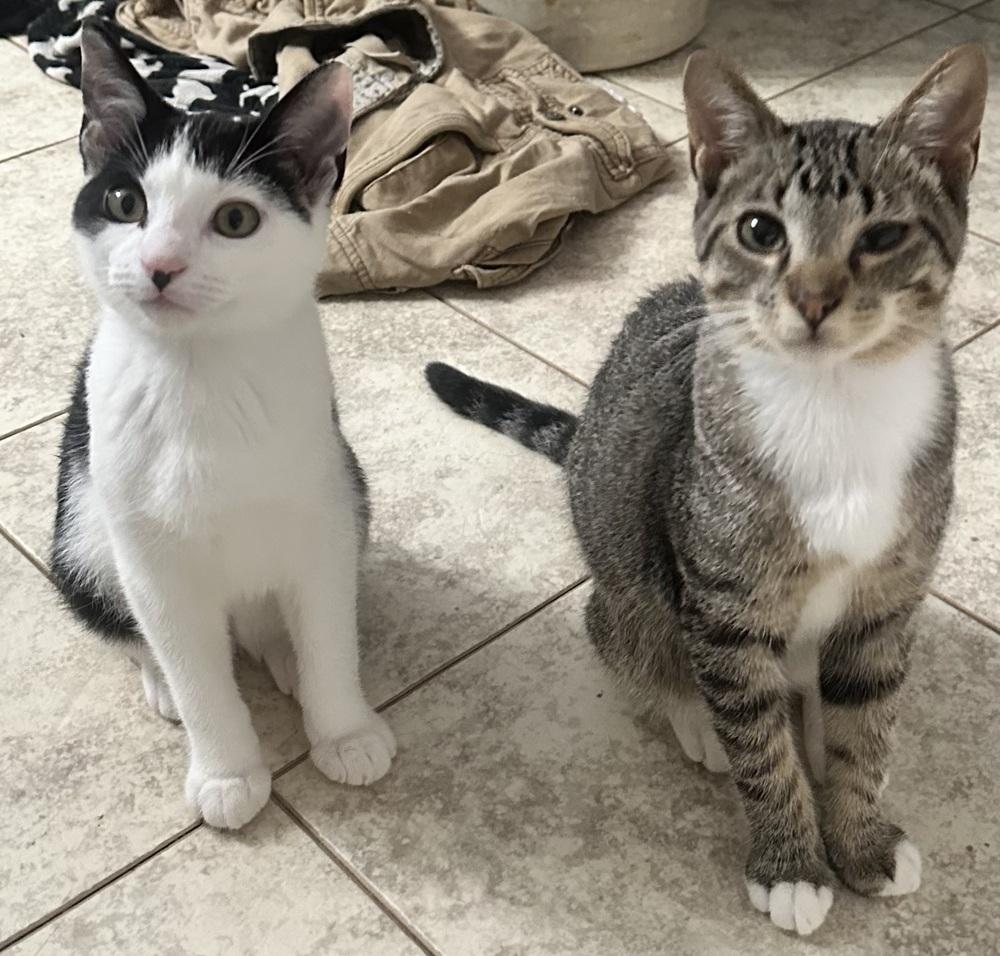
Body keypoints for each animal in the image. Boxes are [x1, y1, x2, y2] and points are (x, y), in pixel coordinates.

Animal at [50, 20, 395, 831]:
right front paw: (229, 772)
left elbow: (329, 622)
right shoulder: (150, 555)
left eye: (236, 219)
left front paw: (344, 729)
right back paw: (164, 684)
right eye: (125, 202)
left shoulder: (325, 505)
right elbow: (191, 661)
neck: (202, 376)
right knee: (135, 625)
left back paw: (285, 655)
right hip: (82, 535)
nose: (160, 265)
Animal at [425, 45, 987, 935]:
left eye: (883, 236)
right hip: (628, 583)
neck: (833, 404)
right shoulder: (723, 607)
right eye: (761, 231)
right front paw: (791, 863)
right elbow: (758, 742)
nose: (814, 298)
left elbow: (867, 727)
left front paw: (861, 835)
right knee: (634, 639)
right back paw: (694, 715)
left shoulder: (887, 600)